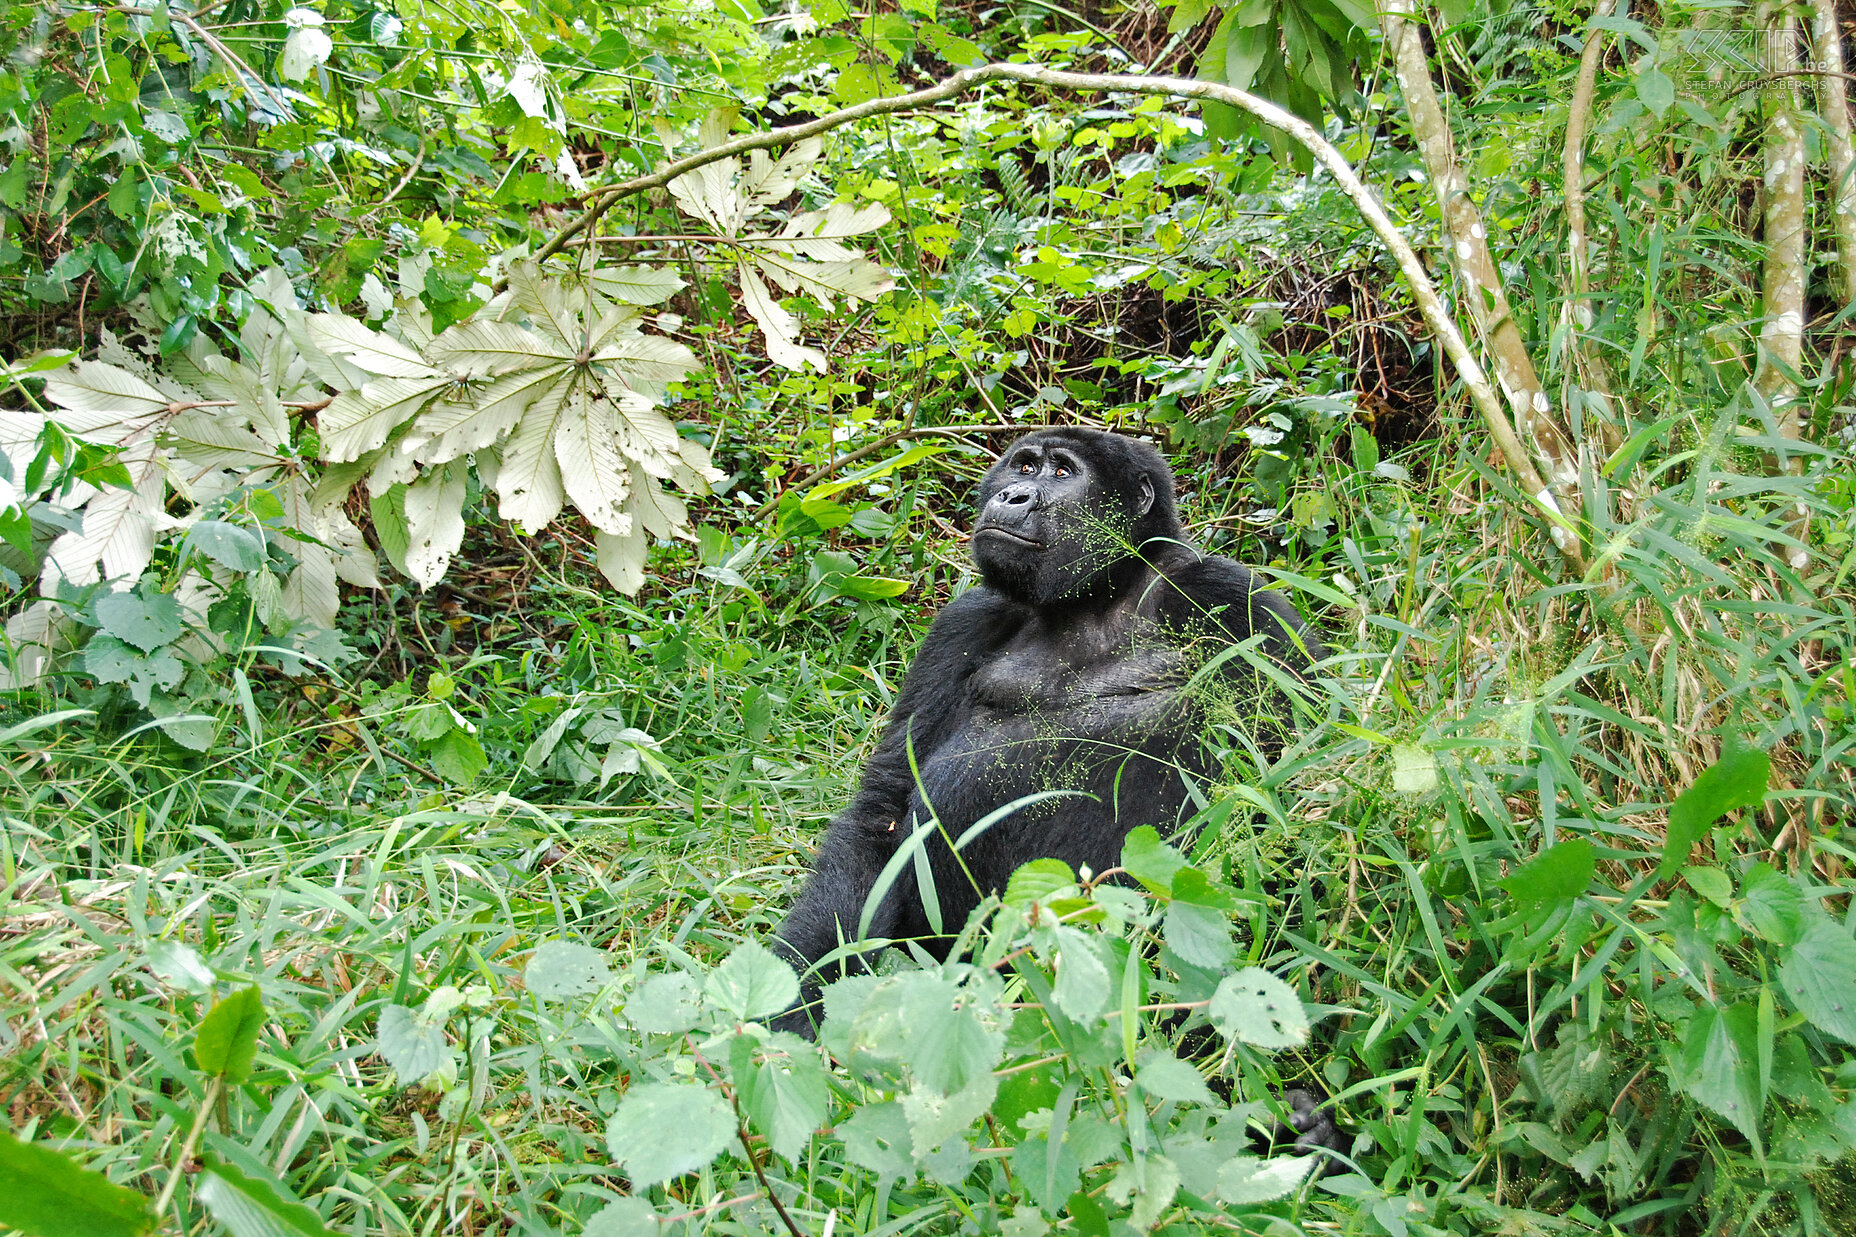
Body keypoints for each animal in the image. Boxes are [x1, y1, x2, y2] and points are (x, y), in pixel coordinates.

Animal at [775, 429, 1328, 988]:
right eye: (1023, 467)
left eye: (1062, 472)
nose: (1011, 495)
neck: (1098, 595)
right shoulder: (963, 622)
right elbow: (881, 818)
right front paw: (805, 985)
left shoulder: (1227, 594)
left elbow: (1293, 773)